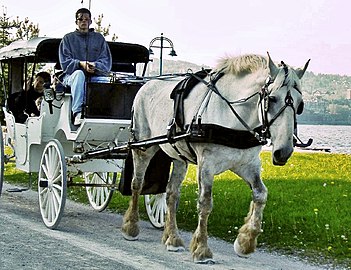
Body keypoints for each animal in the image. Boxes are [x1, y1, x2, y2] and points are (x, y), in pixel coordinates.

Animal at [121, 52, 310, 264]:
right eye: (272, 98)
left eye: (300, 105)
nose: (283, 152)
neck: (234, 117)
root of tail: (146, 84)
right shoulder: (206, 165)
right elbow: (205, 203)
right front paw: (202, 249)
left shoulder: (248, 164)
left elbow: (261, 194)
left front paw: (246, 241)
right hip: (143, 146)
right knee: (137, 183)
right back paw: (131, 226)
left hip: (178, 156)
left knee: (171, 194)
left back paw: (172, 237)